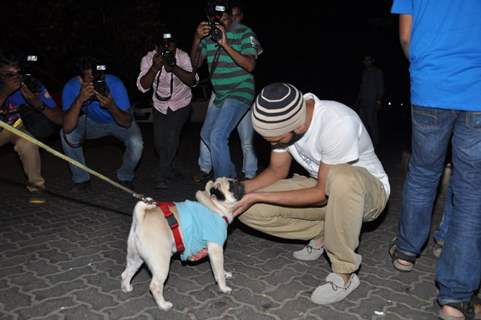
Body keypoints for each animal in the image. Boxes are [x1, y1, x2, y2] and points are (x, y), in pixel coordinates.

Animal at [122, 178, 244, 310]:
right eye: (231, 187)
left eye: (234, 180)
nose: (240, 182)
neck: (213, 205)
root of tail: (141, 218)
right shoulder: (216, 250)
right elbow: (219, 272)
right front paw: (223, 287)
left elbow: (221, 268)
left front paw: (225, 273)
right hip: (161, 262)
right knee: (155, 286)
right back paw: (163, 305)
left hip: (135, 257)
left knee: (126, 273)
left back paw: (126, 287)